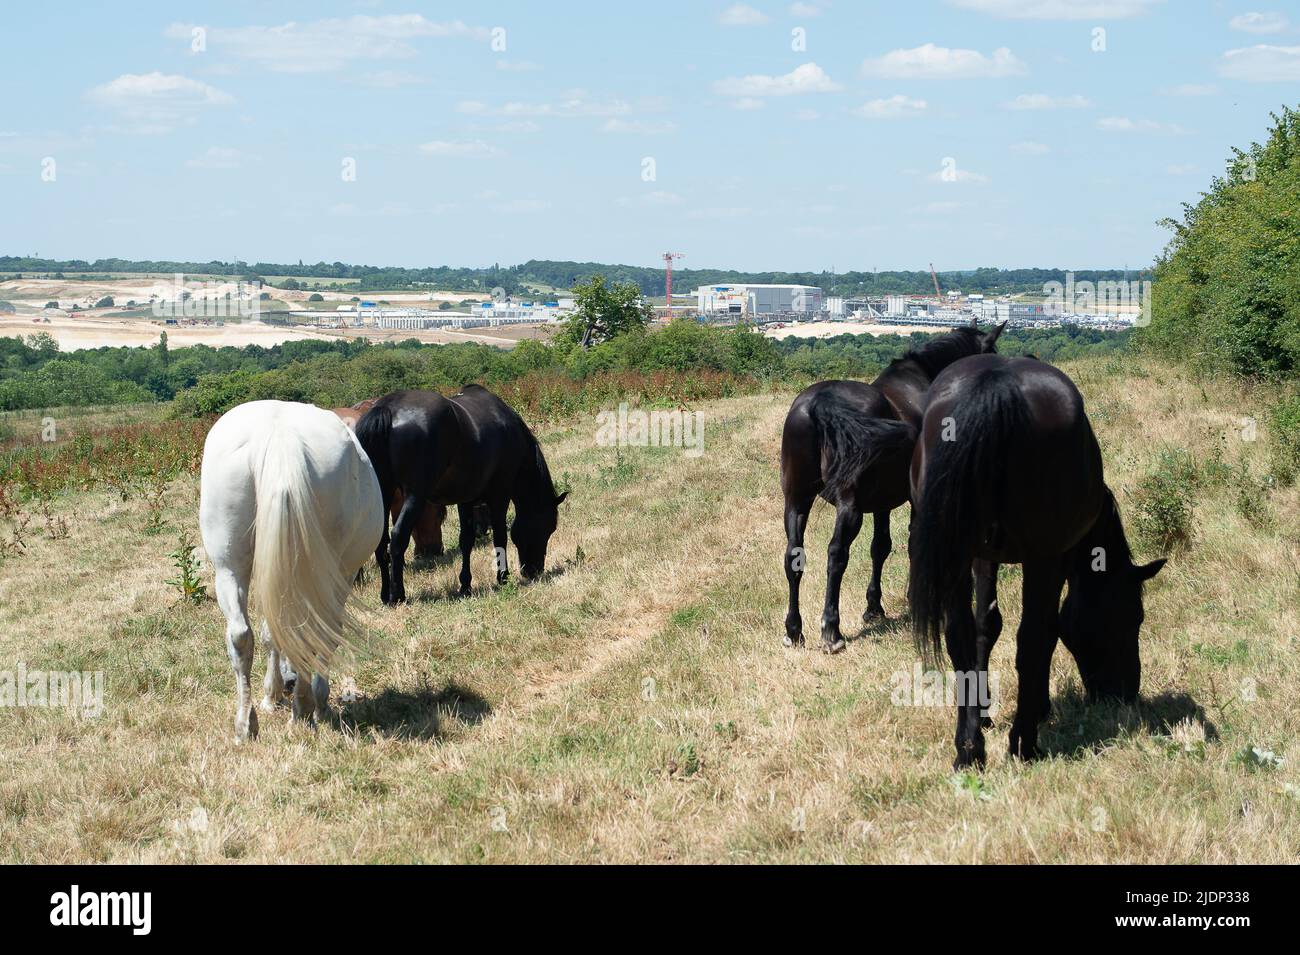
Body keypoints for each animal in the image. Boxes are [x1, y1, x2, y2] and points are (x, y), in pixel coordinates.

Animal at [197, 400, 379, 743]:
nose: (290, 683)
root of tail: (281, 436)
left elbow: (271, 635)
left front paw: (273, 696)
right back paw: (306, 709)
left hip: (228, 567)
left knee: (240, 635)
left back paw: (246, 725)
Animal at [353, 382, 566, 600]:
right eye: (548, 527)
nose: (534, 570)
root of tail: (388, 408)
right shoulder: (500, 495)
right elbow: (500, 536)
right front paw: (503, 577)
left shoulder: (466, 499)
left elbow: (466, 540)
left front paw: (465, 585)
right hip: (414, 497)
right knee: (397, 538)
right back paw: (397, 595)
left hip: (383, 494)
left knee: (381, 542)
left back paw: (385, 594)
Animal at [780, 324, 1003, 654]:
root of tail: (820, 403)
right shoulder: (916, 498)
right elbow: (913, 542)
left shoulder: (882, 502)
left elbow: (880, 547)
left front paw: (874, 608)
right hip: (849, 506)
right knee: (836, 555)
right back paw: (831, 630)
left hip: (796, 502)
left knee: (793, 556)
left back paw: (794, 630)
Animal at [904, 356, 1170, 769]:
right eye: (1133, 617)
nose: (1125, 692)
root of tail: (997, 384)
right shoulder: (1055, 559)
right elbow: (1042, 632)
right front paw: (1037, 708)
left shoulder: (982, 556)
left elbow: (985, 625)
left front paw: (982, 710)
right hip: (1042, 560)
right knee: (1034, 637)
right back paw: (1025, 743)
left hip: (958, 550)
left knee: (959, 636)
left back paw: (969, 749)